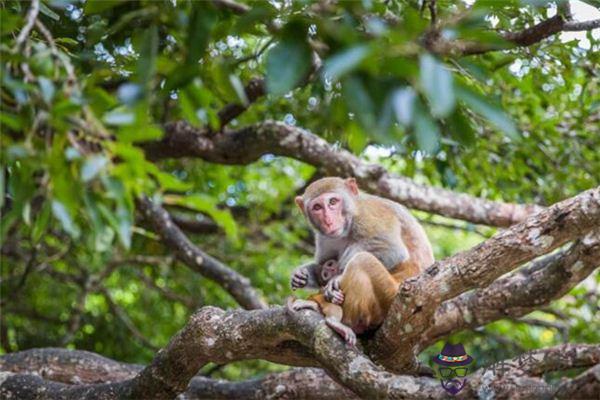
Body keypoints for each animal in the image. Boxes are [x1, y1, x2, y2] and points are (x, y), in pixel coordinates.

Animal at [290, 177, 434, 340]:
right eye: (317, 207)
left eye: (333, 202)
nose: (328, 220)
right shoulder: (323, 237)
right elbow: (322, 263)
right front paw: (303, 275)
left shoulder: (370, 214)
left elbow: (393, 250)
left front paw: (336, 279)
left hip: (389, 295)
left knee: (361, 260)